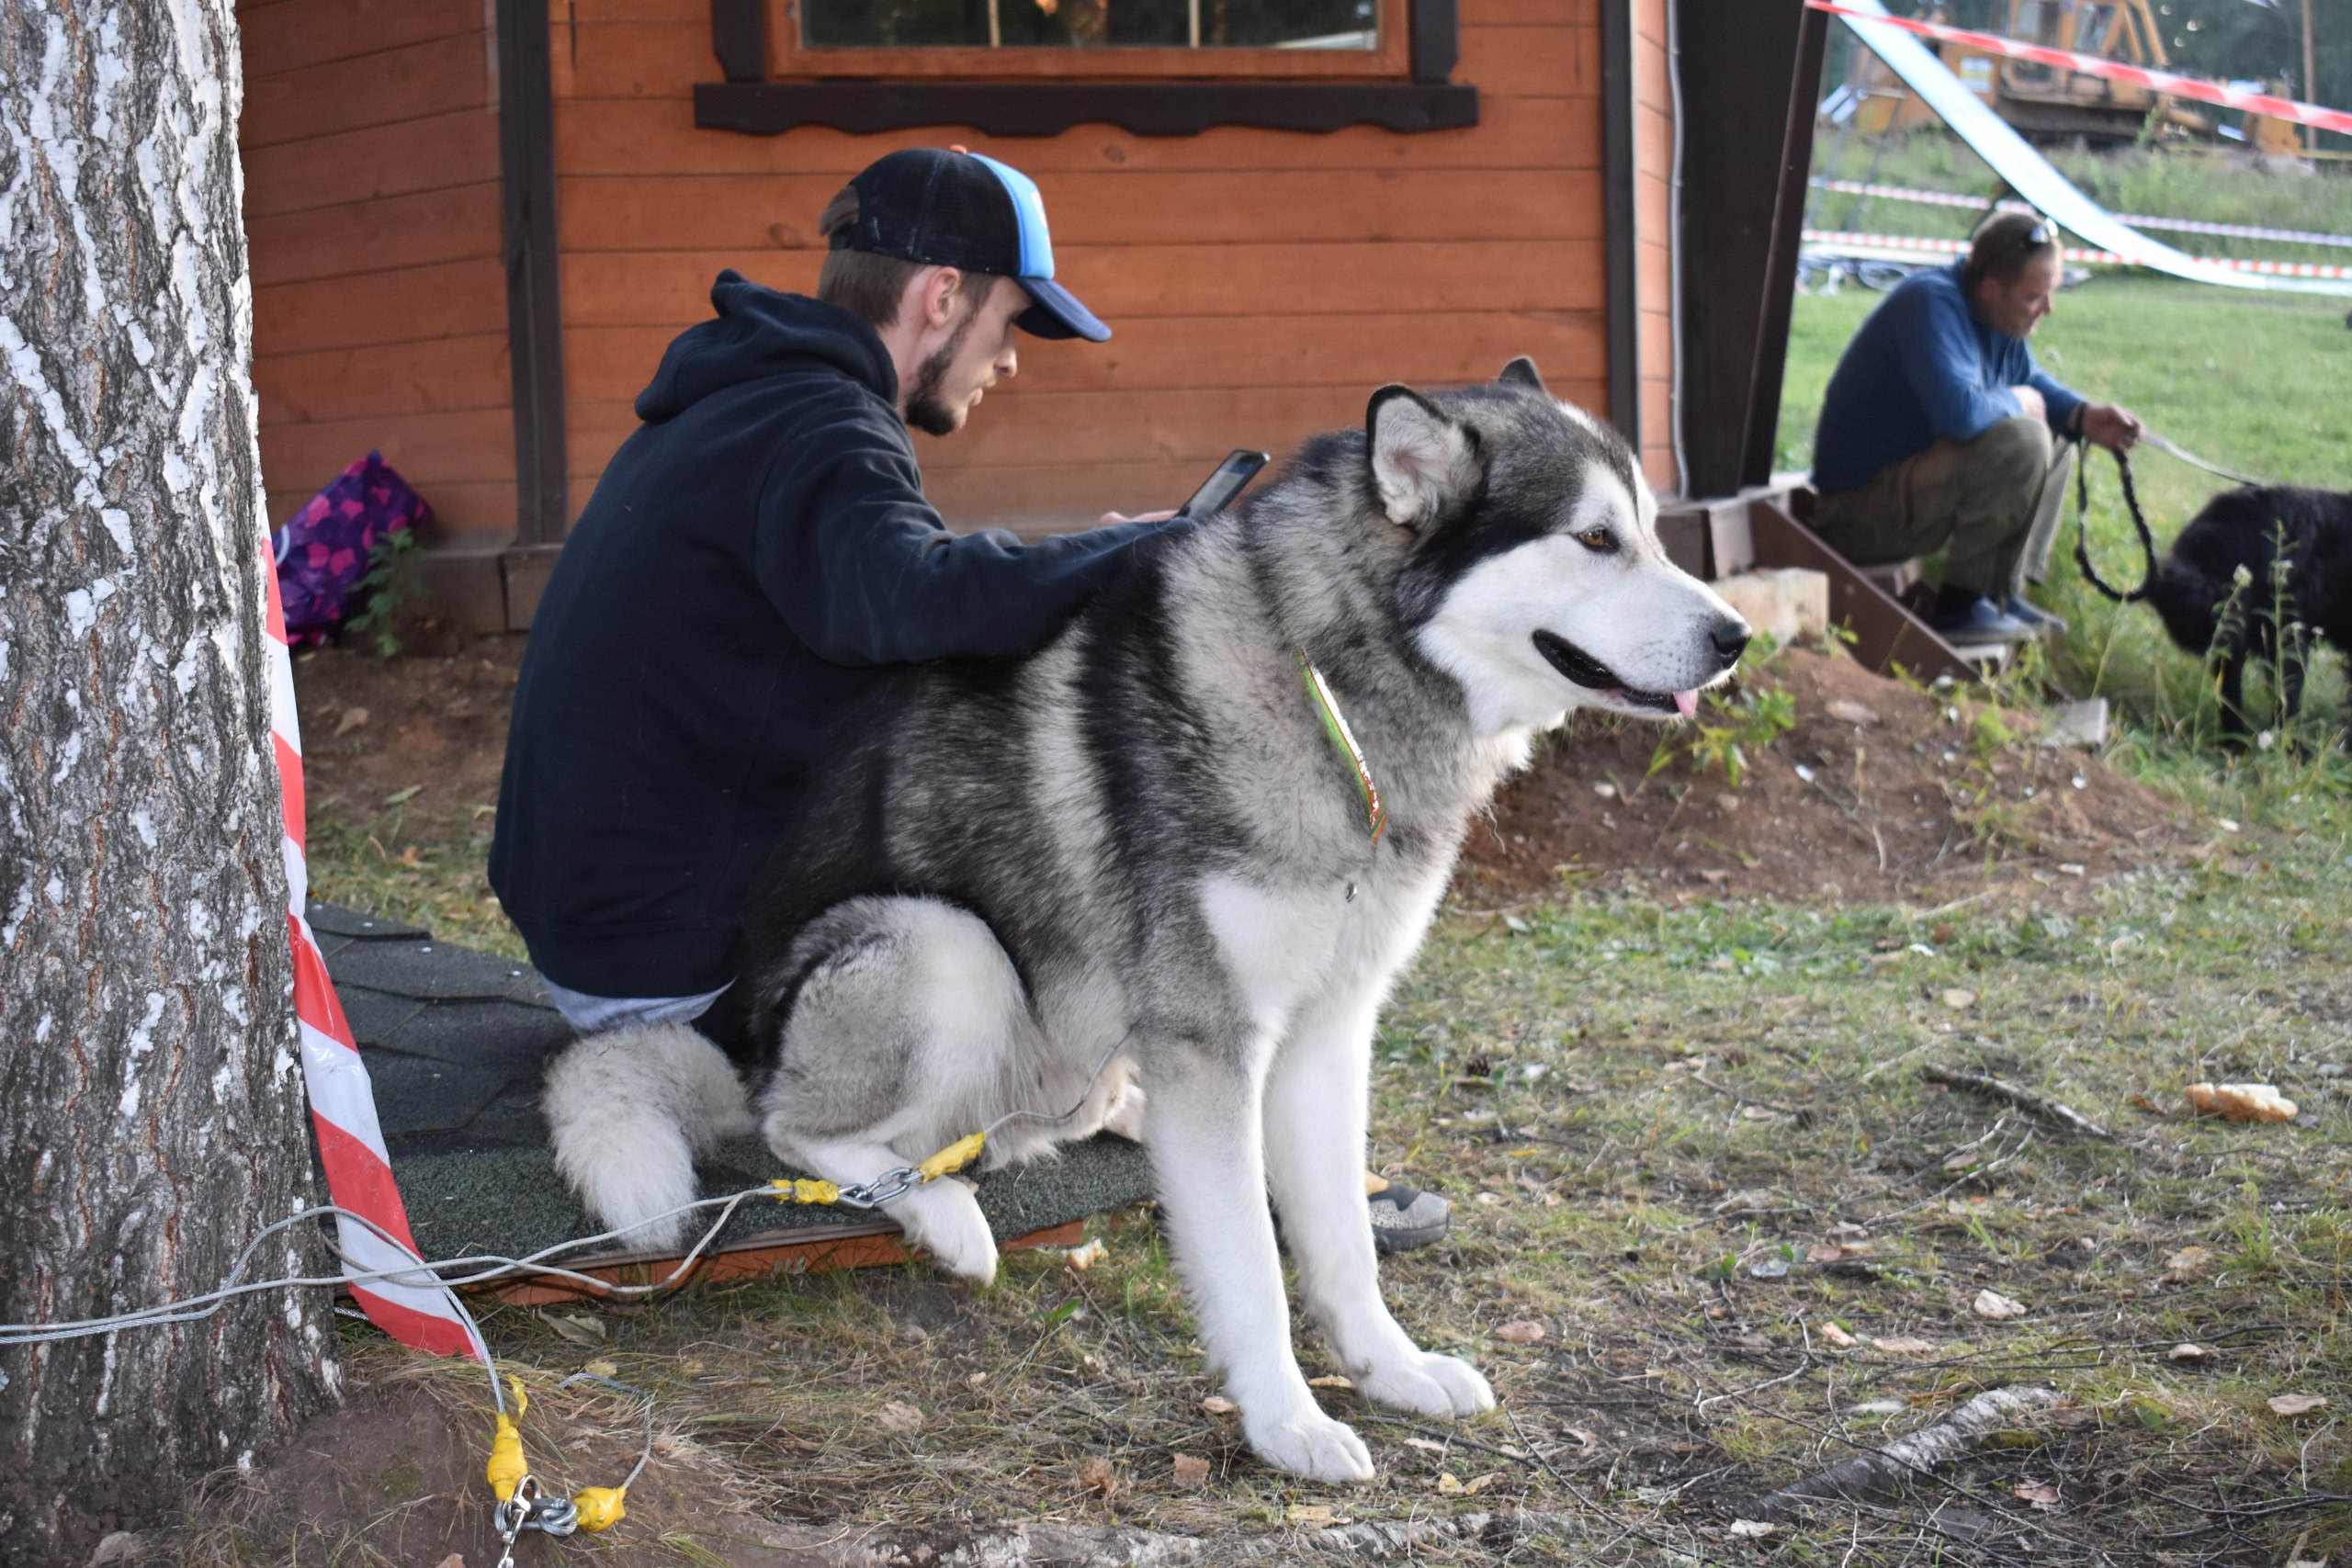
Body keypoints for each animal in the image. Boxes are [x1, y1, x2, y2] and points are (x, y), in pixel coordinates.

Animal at [542, 359, 1749, 1482]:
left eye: (1651, 532)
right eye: (1594, 538)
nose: (1734, 636)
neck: (1334, 692)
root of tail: (732, 1034)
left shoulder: (1328, 1030)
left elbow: (1340, 1242)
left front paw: (1388, 1370)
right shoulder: (1214, 1034)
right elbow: (1250, 1267)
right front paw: (1286, 1424)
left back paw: (1102, 1117)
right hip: (944, 950)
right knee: (800, 1131)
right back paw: (941, 1212)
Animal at [2078, 462, 2352, 740]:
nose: (2202, 641)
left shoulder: (2283, 631)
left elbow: (2287, 690)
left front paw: (2289, 743)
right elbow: (2231, 690)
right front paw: (2233, 740)